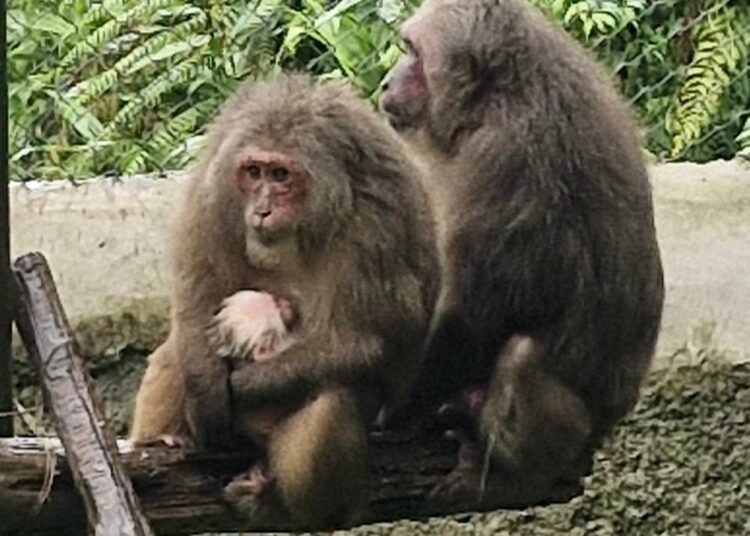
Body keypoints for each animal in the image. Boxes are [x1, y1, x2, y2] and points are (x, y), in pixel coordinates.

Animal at [129, 72, 440, 527]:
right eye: (254, 172)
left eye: (281, 175)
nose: (261, 208)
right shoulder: (214, 193)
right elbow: (195, 303)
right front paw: (207, 391)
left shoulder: (375, 227)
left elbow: (360, 342)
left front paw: (239, 384)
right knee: (178, 348)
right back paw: (162, 440)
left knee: (332, 398)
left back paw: (281, 502)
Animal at [379, 0, 665, 509]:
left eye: (412, 52)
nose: (386, 82)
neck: (498, 95)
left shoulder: (501, 159)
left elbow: (471, 316)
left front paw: (396, 410)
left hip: (577, 432)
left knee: (521, 357)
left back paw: (514, 474)